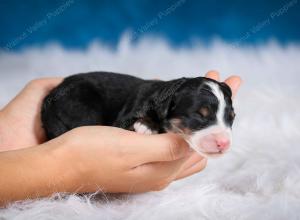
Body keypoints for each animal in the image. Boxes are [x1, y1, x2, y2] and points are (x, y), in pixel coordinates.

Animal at [41, 72, 236, 156]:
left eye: (231, 117)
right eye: (199, 115)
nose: (224, 143)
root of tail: (49, 99)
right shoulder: (124, 117)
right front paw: (147, 125)